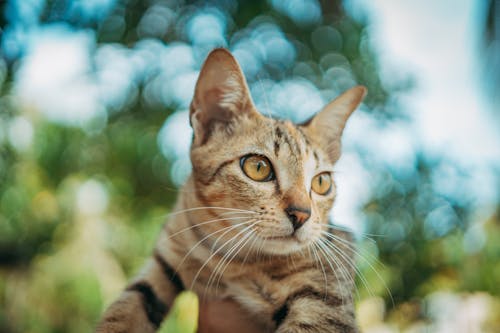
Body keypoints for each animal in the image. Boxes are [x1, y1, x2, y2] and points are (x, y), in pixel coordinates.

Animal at [95, 48, 366, 330]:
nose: (302, 214)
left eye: (321, 182)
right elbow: (123, 310)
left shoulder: (326, 299)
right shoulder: (163, 262)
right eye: (258, 167)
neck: (231, 259)